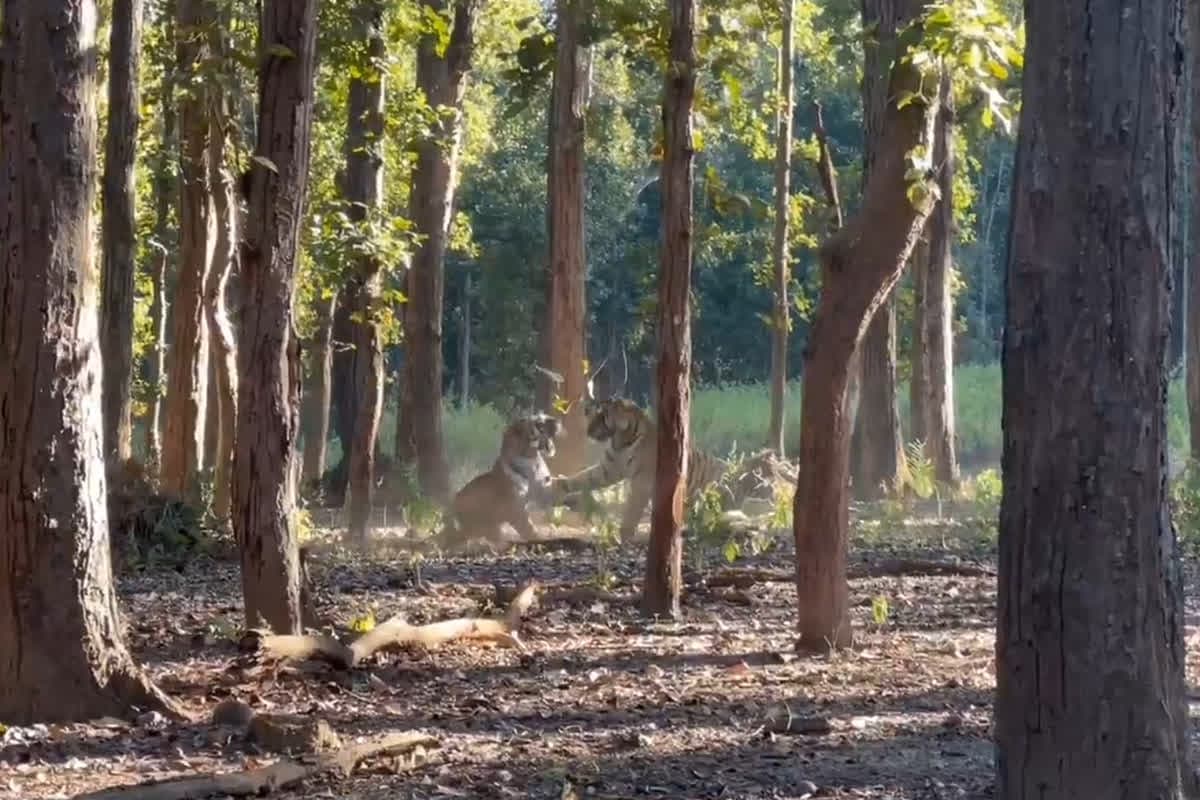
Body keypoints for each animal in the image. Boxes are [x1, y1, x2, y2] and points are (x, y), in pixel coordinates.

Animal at [439, 412, 562, 550]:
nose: (557, 421)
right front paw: (540, 539)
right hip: (481, 524)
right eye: (539, 423)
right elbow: (529, 529)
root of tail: (453, 503)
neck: (533, 462)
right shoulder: (515, 509)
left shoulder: (544, 491)